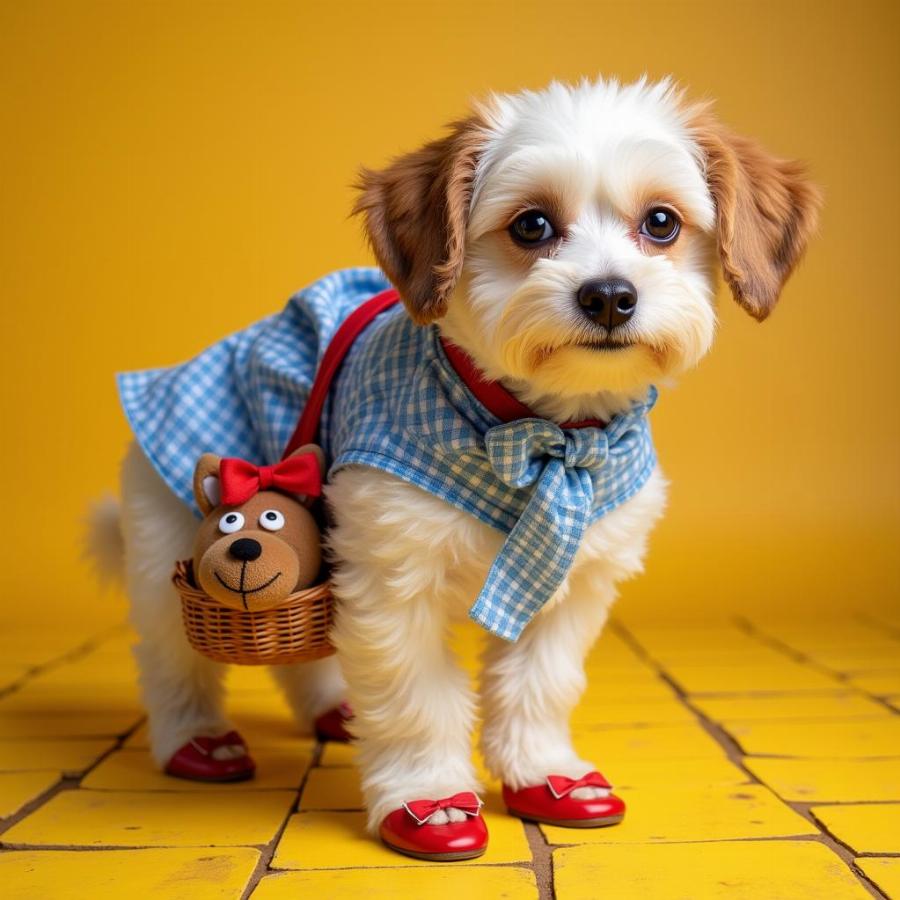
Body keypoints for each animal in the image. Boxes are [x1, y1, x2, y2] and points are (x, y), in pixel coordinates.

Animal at [102, 77, 820, 856]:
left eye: (661, 222)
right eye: (532, 226)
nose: (608, 294)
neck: (545, 435)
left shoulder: (570, 581)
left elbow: (540, 686)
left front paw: (546, 777)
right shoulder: (396, 586)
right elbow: (417, 702)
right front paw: (431, 801)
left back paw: (332, 709)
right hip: (170, 544)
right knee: (169, 656)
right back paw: (196, 741)